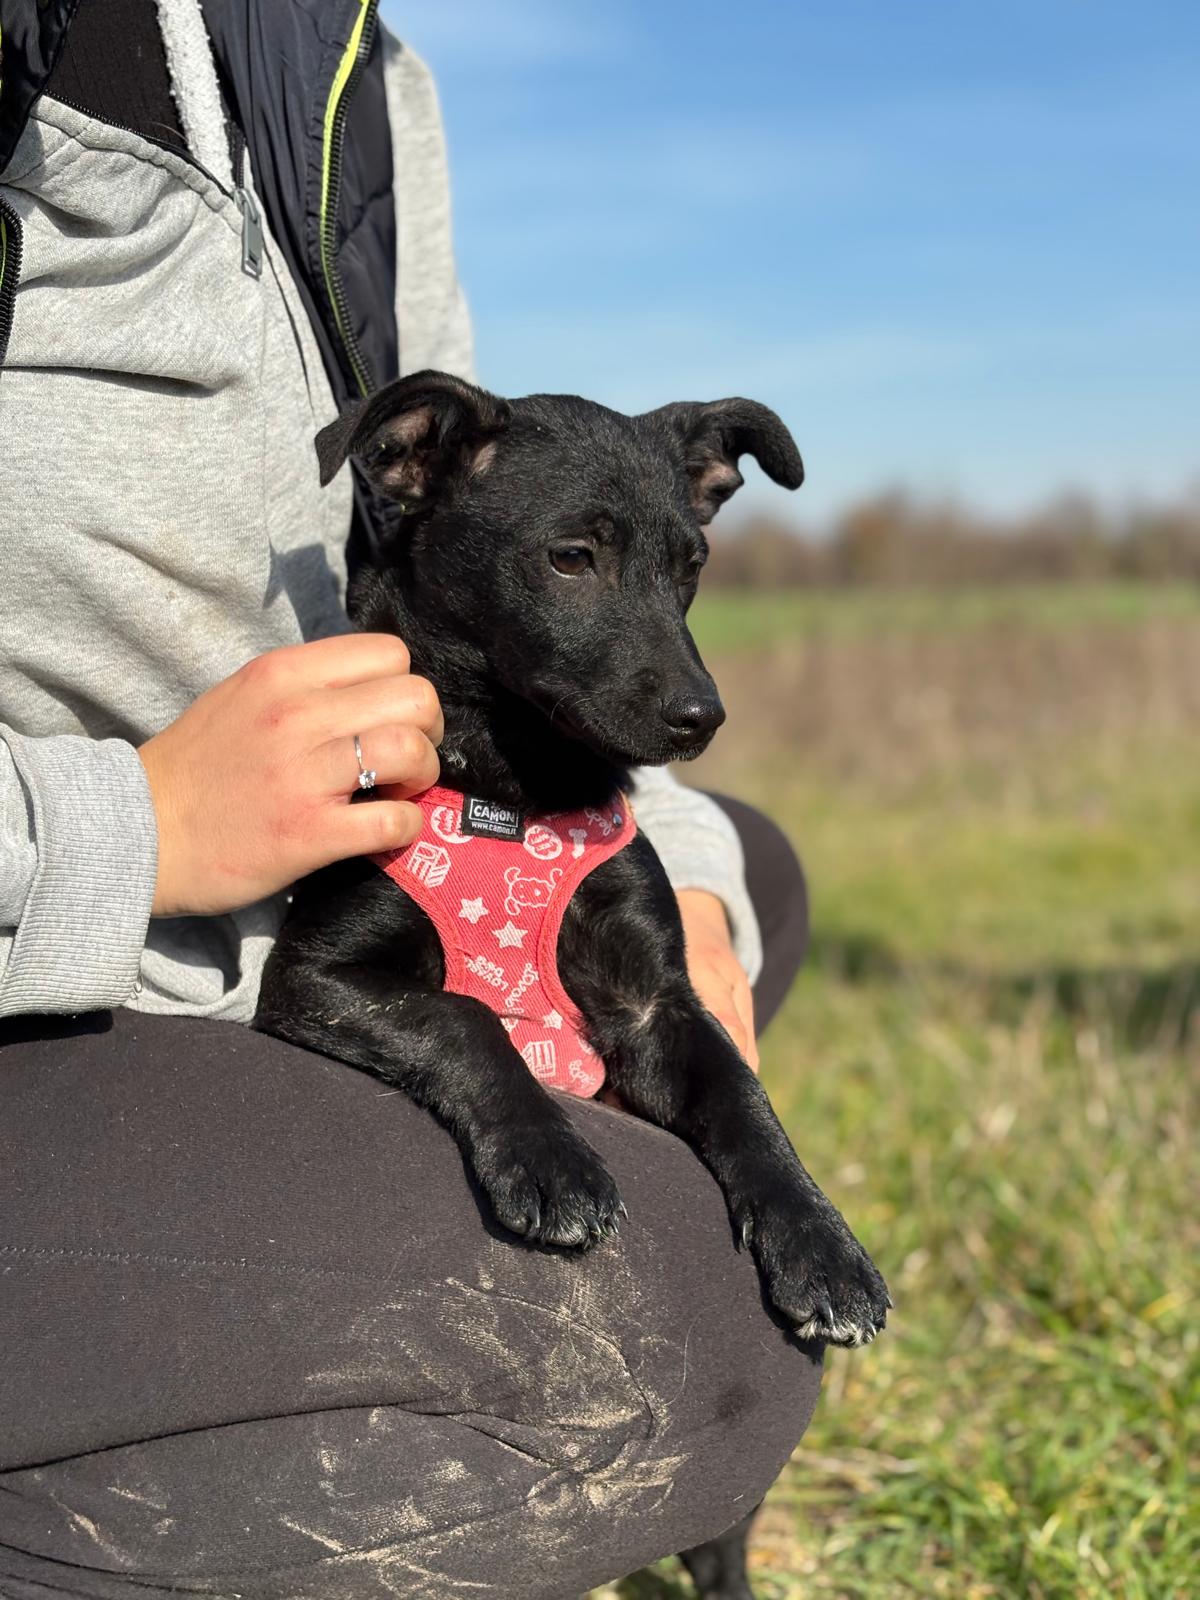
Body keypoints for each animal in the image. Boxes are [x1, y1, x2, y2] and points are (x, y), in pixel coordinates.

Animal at [256, 370, 890, 1597]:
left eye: (692, 562)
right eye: (569, 558)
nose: (702, 716)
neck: (517, 790)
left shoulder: (656, 1006)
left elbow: (745, 1100)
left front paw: (822, 1240)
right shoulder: (316, 978)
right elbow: (465, 1014)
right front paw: (552, 1159)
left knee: (719, 1536)